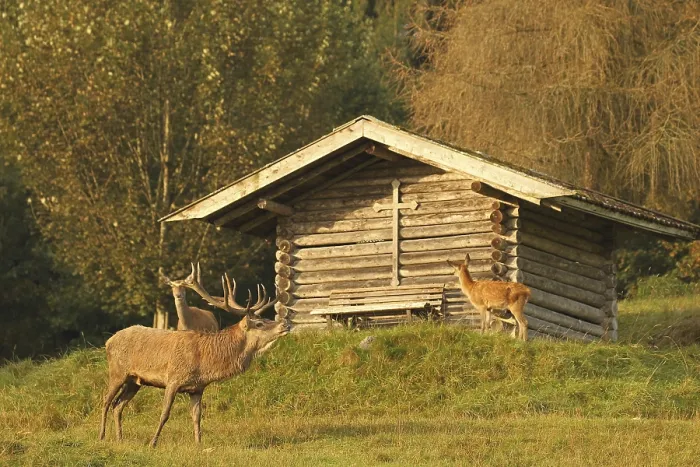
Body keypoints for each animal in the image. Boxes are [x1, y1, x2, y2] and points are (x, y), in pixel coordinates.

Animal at [98, 276, 285, 448]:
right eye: (259, 323)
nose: (284, 325)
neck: (204, 363)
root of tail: (108, 341)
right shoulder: (173, 379)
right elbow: (165, 413)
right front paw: (153, 443)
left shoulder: (197, 388)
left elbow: (197, 416)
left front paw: (198, 443)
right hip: (117, 372)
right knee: (106, 401)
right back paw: (101, 436)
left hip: (134, 381)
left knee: (118, 405)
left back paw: (120, 438)